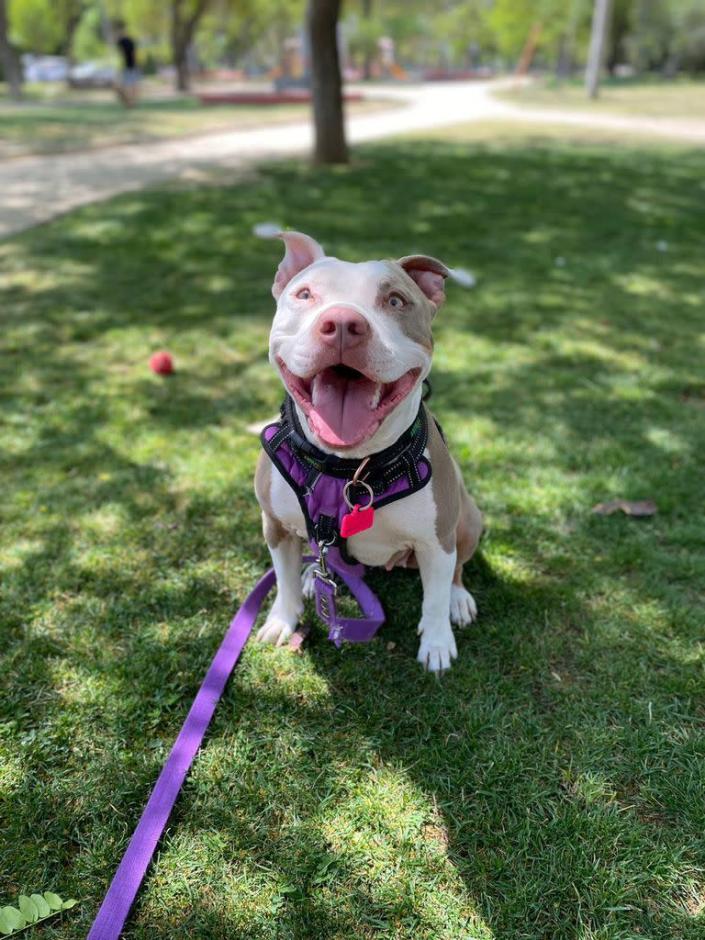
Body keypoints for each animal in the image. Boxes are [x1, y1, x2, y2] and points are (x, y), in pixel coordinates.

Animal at [250, 235, 482, 676]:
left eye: (394, 301)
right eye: (304, 294)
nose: (342, 323)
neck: (349, 468)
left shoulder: (436, 542)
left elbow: (435, 598)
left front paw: (437, 642)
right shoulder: (275, 526)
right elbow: (283, 580)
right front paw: (282, 619)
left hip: (468, 519)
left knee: (458, 570)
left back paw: (460, 599)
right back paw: (314, 575)